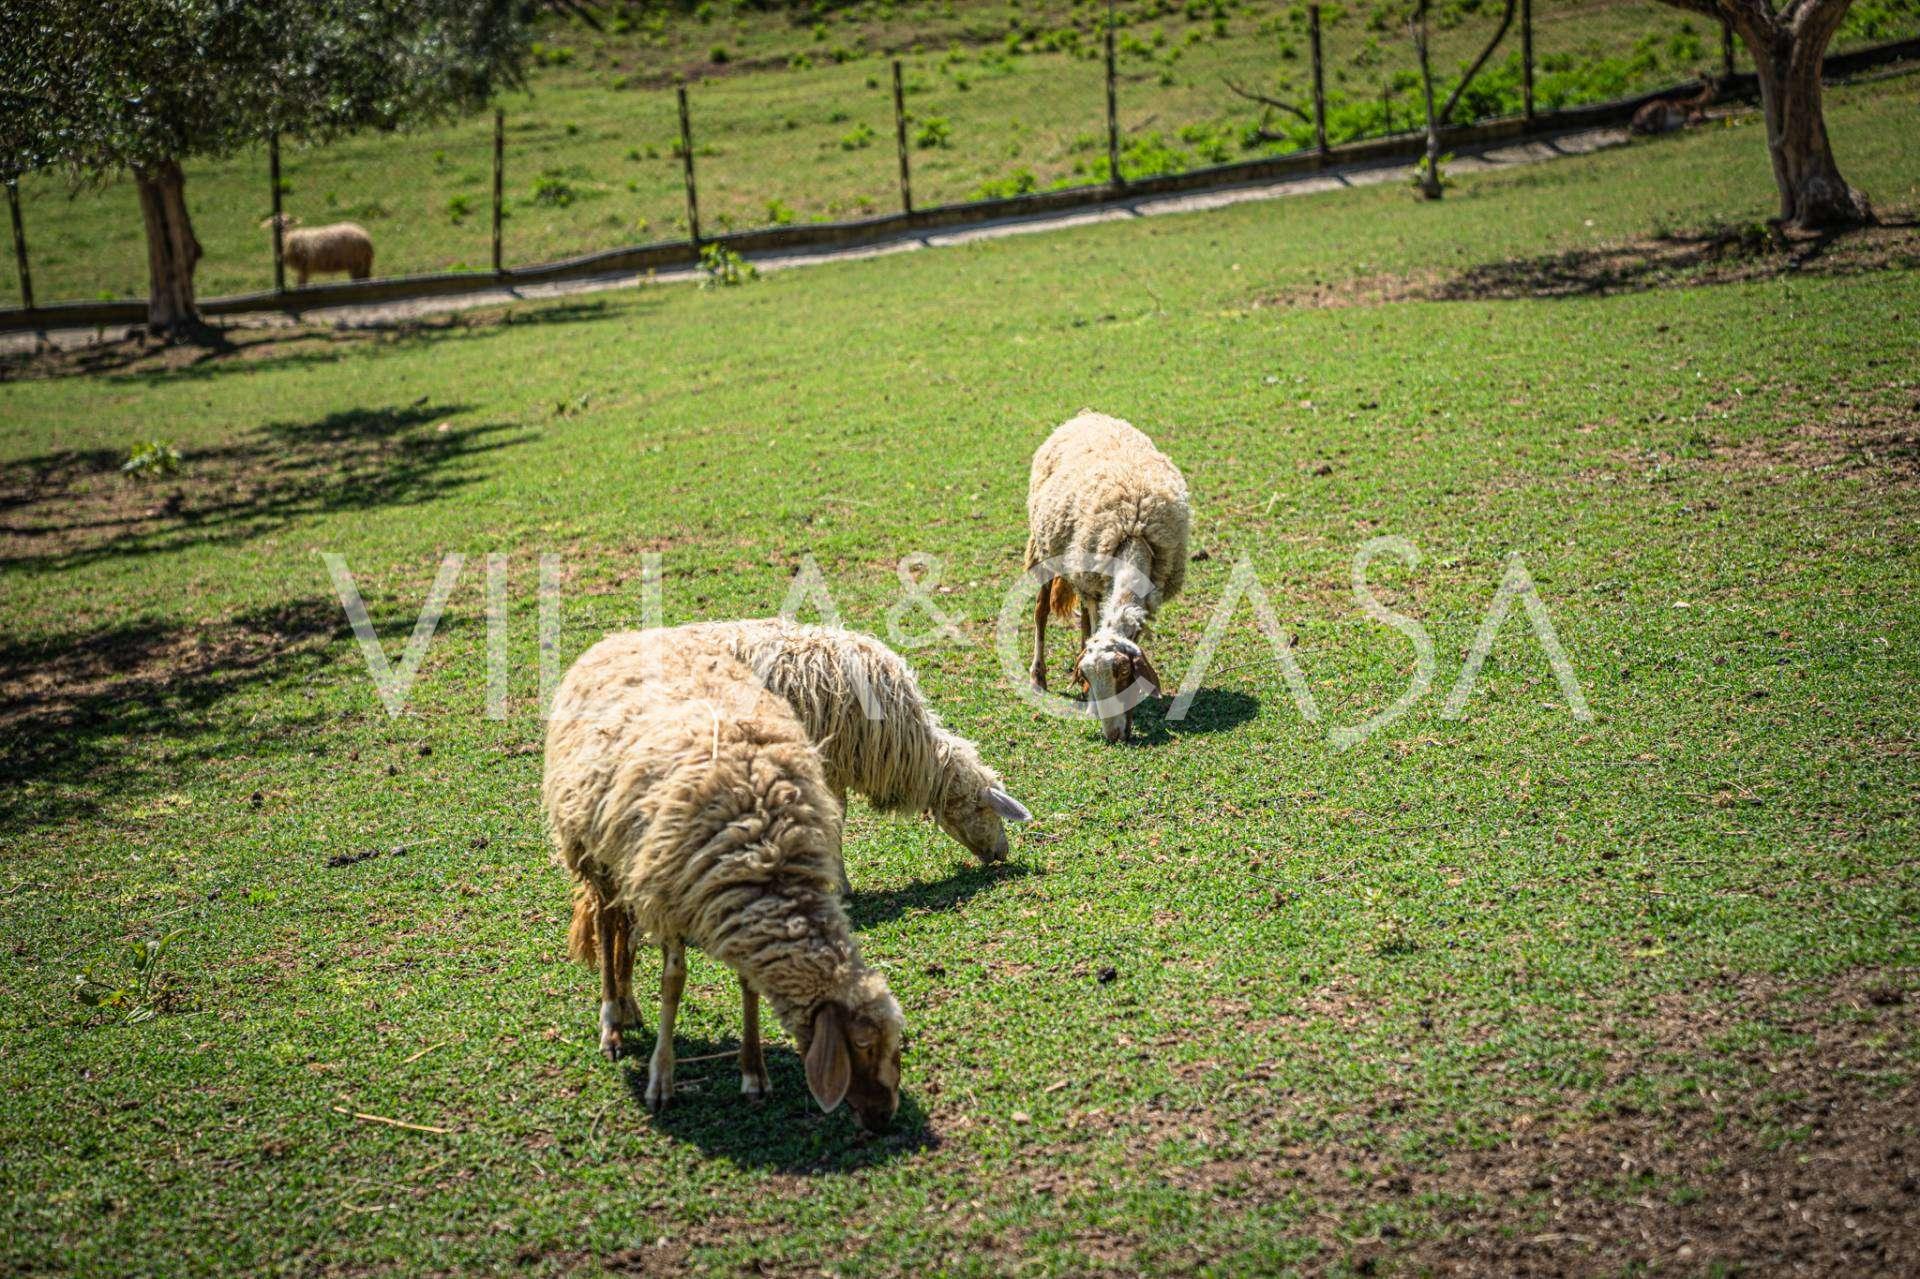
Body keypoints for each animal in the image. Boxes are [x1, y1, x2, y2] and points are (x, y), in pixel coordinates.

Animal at [544, 630, 904, 1130]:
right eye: (864, 1045)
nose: (884, 1117)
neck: (768, 854)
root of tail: (622, 637)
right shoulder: (673, 895)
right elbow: (673, 983)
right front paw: (662, 1080)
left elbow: (748, 985)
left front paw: (754, 1074)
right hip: (592, 848)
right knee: (605, 922)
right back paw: (612, 1019)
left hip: (626, 858)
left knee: (622, 927)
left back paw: (630, 1006)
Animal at [1025, 410, 1190, 743]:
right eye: (1089, 674)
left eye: (1124, 673)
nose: (1113, 735)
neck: (1133, 531)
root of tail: (1087, 414)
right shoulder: (1092, 580)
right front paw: (1090, 703)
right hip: (1046, 550)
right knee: (1041, 612)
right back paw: (1038, 677)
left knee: (1083, 625)